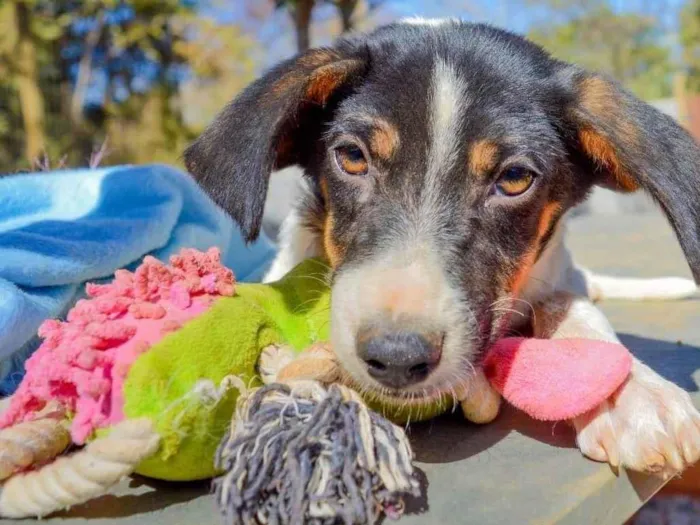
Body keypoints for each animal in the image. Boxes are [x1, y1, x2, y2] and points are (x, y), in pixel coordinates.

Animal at [186, 19, 700, 474]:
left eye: (515, 178)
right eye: (351, 157)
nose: (396, 357)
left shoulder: (550, 275)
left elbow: (570, 306)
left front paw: (633, 394)